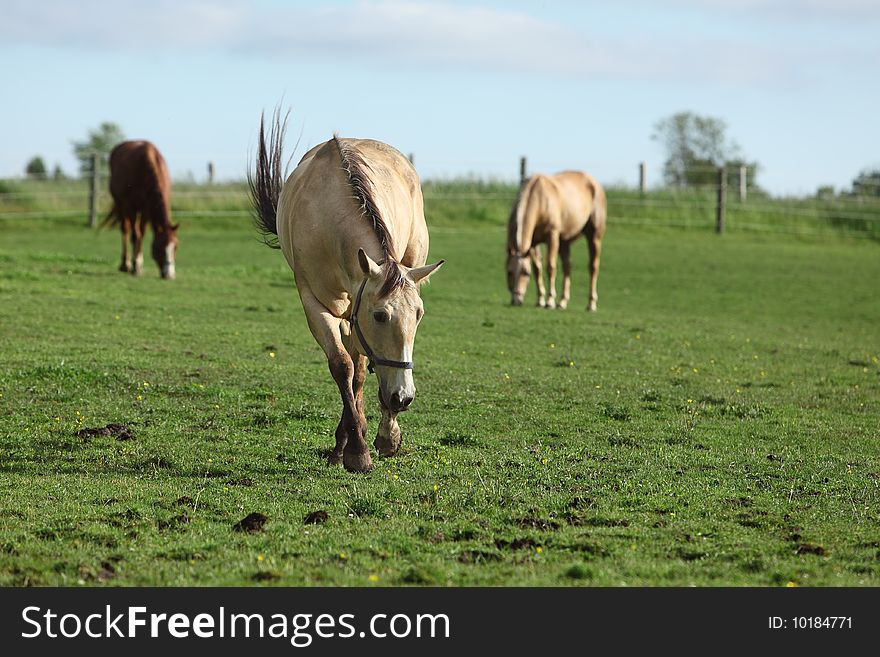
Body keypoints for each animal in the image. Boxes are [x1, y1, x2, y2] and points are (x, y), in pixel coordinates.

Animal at [103, 140, 179, 278]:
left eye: (176, 247)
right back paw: (125, 264)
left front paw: (139, 263)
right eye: (160, 247)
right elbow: (135, 235)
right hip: (121, 204)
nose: (169, 275)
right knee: (125, 230)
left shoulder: (147, 208)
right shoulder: (131, 206)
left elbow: (141, 233)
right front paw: (135, 267)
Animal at [249, 113, 444, 472]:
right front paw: (356, 450)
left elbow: (358, 371)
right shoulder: (316, 303)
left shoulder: (358, 305)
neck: (329, 217)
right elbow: (342, 366)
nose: (403, 397)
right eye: (380, 315)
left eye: (419, 315)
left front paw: (382, 438)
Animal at [508, 172, 604, 310]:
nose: (517, 300)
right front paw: (540, 300)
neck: (539, 197)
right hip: (564, 242)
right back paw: (562, 302)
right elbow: (537, 268)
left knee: (593, 267)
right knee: (567, 267)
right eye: (509, 272)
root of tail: (595, 183)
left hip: (594, 237)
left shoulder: (552, 237)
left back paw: (591, 304)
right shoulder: (533, 243)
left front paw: (549, 301)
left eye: (526, 273)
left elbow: (550, 267)